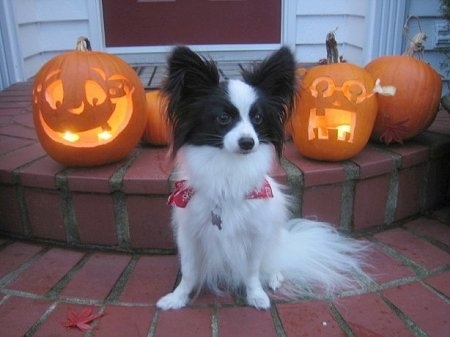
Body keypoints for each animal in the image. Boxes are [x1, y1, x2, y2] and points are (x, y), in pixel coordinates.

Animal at [156, 46, 368, 308]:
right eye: (223, 118)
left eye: (257, 118)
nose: (248, 142)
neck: (229, 170)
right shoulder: (190, 234)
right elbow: (189, 271)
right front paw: (177, 298)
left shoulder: (256, 235)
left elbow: (252, 271)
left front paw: (256, 295)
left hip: (273, 239)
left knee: (273, 260)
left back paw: (275, 276)